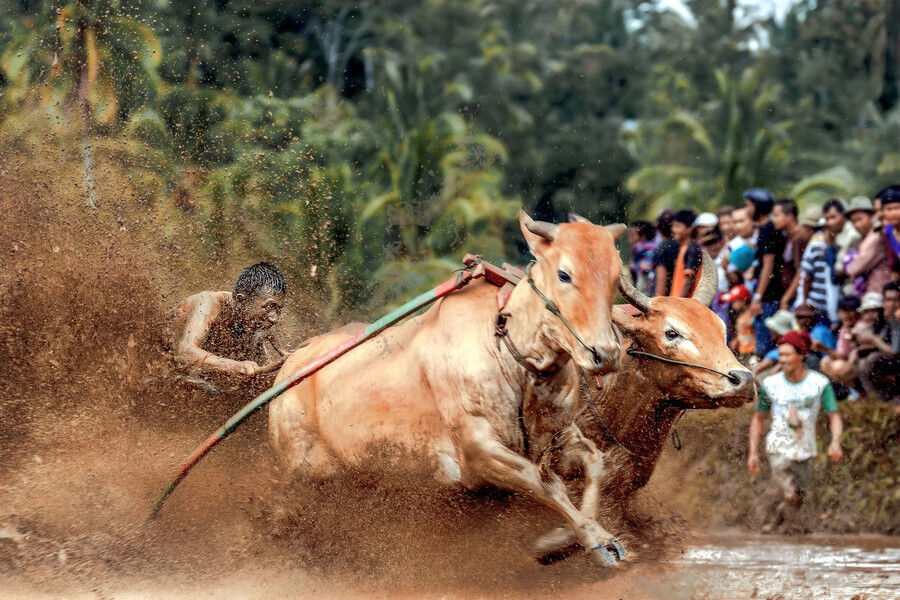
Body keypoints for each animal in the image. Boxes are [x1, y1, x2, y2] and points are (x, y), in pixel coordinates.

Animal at [270, 212, 628, 568]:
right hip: (302, 470)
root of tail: (288, 367)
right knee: (285, 513)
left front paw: (570, 538)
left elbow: (595, 462)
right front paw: (595, 540)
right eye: (564, 274)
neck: (509, 347)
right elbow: (543, 482)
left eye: (616, 277)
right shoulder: (477, 450)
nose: (606, 354)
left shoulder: (559, 433)